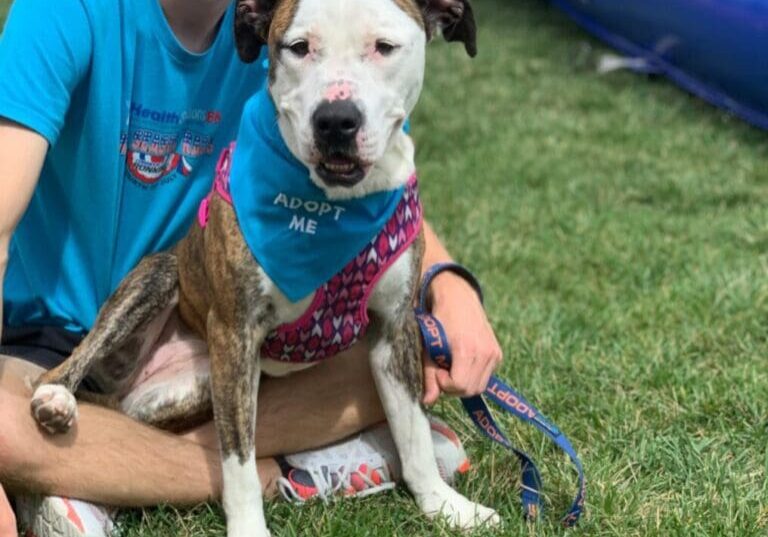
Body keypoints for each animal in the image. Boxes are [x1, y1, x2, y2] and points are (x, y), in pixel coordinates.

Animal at [28, 2, 498, 532]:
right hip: (161, 281)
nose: (336, 119)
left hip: (186, 388)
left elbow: (413, 433)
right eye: (298, 47)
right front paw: (250, 527)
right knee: (64, 369)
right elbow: (238, 464)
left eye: (384, 46)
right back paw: (57, 399)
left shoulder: (395, 330)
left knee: (130, 415)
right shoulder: (236, 333)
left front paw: (444, 505)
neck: (329, 209)